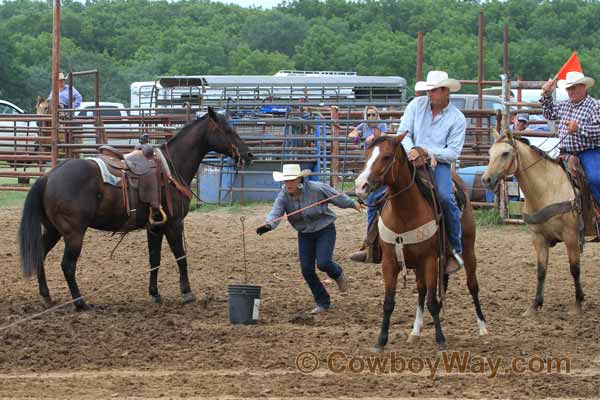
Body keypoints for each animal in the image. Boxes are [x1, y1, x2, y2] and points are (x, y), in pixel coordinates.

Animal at [18, 108, 252, 310]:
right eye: (228, 131)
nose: (248, 155)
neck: (171, 168)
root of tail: (48, 176)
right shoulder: (174, 223)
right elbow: (181, 257)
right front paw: (187, 293)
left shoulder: (155, 226)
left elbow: (154, 259)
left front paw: (155, 294)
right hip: (73, 233)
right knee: (67, 265)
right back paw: (80, 303)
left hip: (53, 230)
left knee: (40, 255)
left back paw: (46, 296)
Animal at [356, 134, 488, 350]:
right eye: (366, 155)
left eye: (386, 156)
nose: (360, 186)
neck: (404, 213)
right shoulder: (389, 262)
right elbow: (389, 302)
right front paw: (381, 340)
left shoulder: (429, 260)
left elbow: (433, 302)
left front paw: (440, 339)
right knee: (421, 290)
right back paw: (415, 331)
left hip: (468, 251)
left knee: (472, 285)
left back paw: (483, 327)